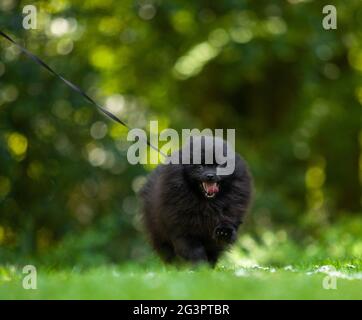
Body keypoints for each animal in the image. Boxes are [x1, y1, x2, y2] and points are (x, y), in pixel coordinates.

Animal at [140, 136, 253, 264]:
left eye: (219, 166)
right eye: (200, 166)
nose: (210, 175)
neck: (207, 204)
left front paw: (224, 232)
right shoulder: (184, 230)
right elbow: (193, 250)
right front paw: (200, 266)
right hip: (159, 234)